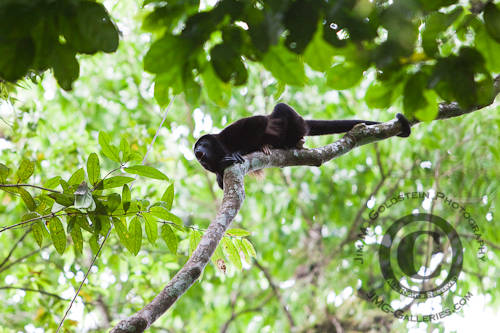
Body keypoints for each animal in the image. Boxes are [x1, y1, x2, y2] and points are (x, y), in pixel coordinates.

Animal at [194, 102, 410, 188]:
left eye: (203, 143)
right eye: (196, 150)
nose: (197, 151)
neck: (220, 145)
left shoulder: (229, 133)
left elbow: (256, 123)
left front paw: (238, 152)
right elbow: (221, 181)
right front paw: (221, 174)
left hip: (295, 122)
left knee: (279, 109)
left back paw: (290, 142)